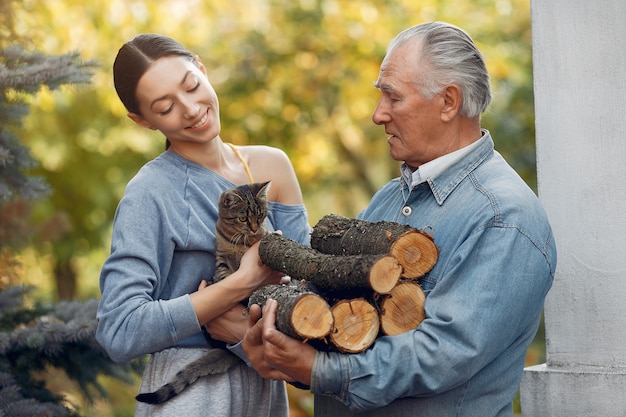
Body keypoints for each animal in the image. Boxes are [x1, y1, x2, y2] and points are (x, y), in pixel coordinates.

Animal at [135, 181, 270, 404]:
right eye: (243, 218)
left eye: (260, 216)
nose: (254, 228)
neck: (240, 242)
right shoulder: (222, 258)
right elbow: (226, 275)